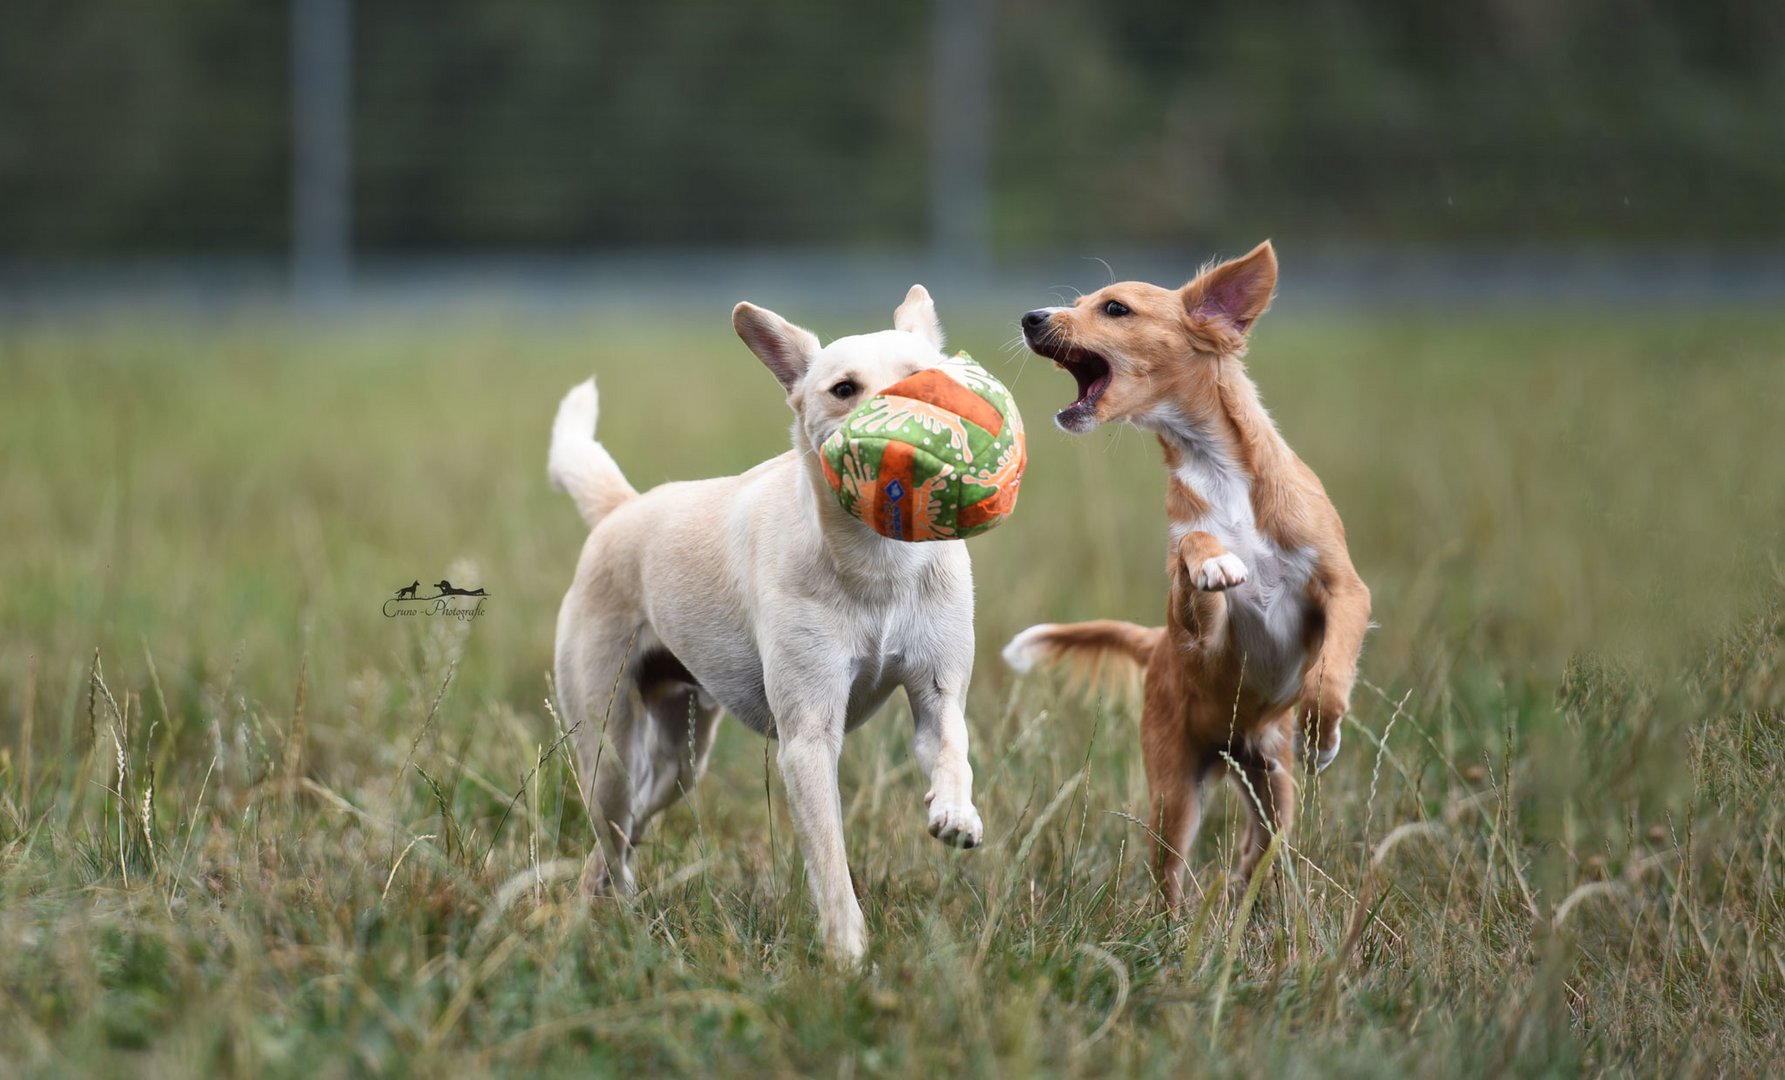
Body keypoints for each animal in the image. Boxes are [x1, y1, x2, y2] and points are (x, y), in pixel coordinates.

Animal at [546, 285, 985, 956]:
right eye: (844, 389)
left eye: (923, 378)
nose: (901, 434)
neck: (878, 563)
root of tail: (622, 509)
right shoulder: (808, 738)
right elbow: (829, 858)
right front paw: (848, 955)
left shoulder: (938, 691)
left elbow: (952, 747)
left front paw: (956, 813)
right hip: (608, 747)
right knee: (614, 833)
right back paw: (614, 914)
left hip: (680, 764)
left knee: (631, 824)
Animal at [1006, 242, 1363, 899]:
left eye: (1114, 308)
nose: (1030, 317)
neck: (1218, 468)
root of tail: (1154, 648)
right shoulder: (1201, 631)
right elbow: (1195, 547)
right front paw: (1215, 559)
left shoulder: (1345, 587)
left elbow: (1332, 668)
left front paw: (1321, 732)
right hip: (1175, 791)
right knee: (1170, 873)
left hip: (1274, 786)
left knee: (1257, 847)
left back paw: (1242, 896)